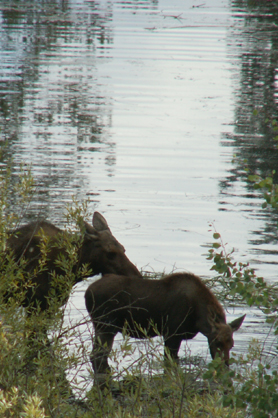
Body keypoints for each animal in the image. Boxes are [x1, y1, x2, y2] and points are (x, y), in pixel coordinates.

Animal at [85, 272, 245, 378]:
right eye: (217, 342)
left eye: (231, 344)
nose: (224, 366)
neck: (198, 320)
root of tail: (87, 293)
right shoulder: (172, 334)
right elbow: (169, 362)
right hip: (105, 325)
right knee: (97, 355)